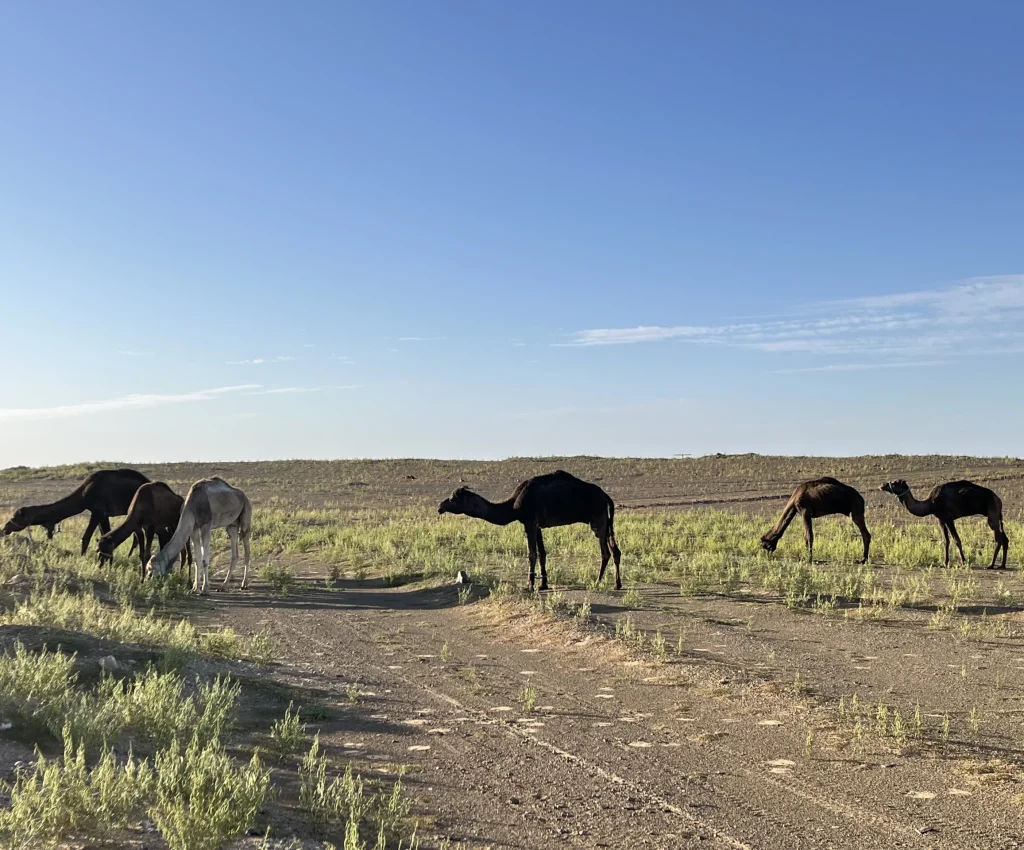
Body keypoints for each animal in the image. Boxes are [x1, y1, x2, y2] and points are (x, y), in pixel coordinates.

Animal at [0, 466, 150, 557]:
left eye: (15, 517)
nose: (5, 528)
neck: (83, 495)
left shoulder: (98, 511)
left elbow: (86, 537)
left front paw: (82, 557)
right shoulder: (103, 515)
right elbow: (105, 533)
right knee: (137, 536)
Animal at [436, 473, 618, 593]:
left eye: (453, 498)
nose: (440, 506)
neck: (513, 506)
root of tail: (606, 496)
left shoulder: (529, 522)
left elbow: (532, 554)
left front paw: (529, 584)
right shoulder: (537, 526)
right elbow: (542, 553)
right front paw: (543, 584)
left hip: (598, 520)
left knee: (606, 552)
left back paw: (598, 582)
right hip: (606, 521)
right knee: (615, 550)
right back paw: (618, 584)